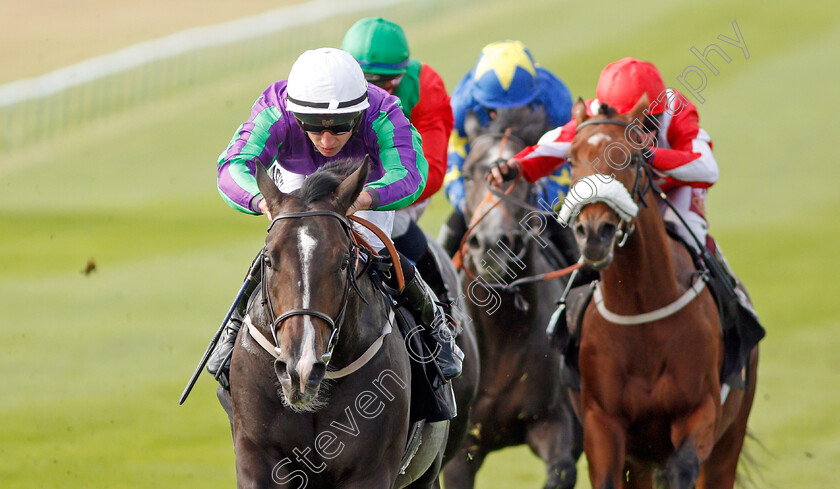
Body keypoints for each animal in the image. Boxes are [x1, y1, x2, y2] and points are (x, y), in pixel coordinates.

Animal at [446, 107, 584, 488]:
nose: (493, 244)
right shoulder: (462, 450)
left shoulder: (553, 421)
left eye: (517, 177)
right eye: (468, 173)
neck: (502, 332)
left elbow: (560, 469)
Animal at [560, 96, 756, 488]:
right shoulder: (601, 422)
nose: (595, 232)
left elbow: (683, 466)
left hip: (730, 436)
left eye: (634, 159)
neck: (640, 311)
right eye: (571, 159)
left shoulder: (700, 409)